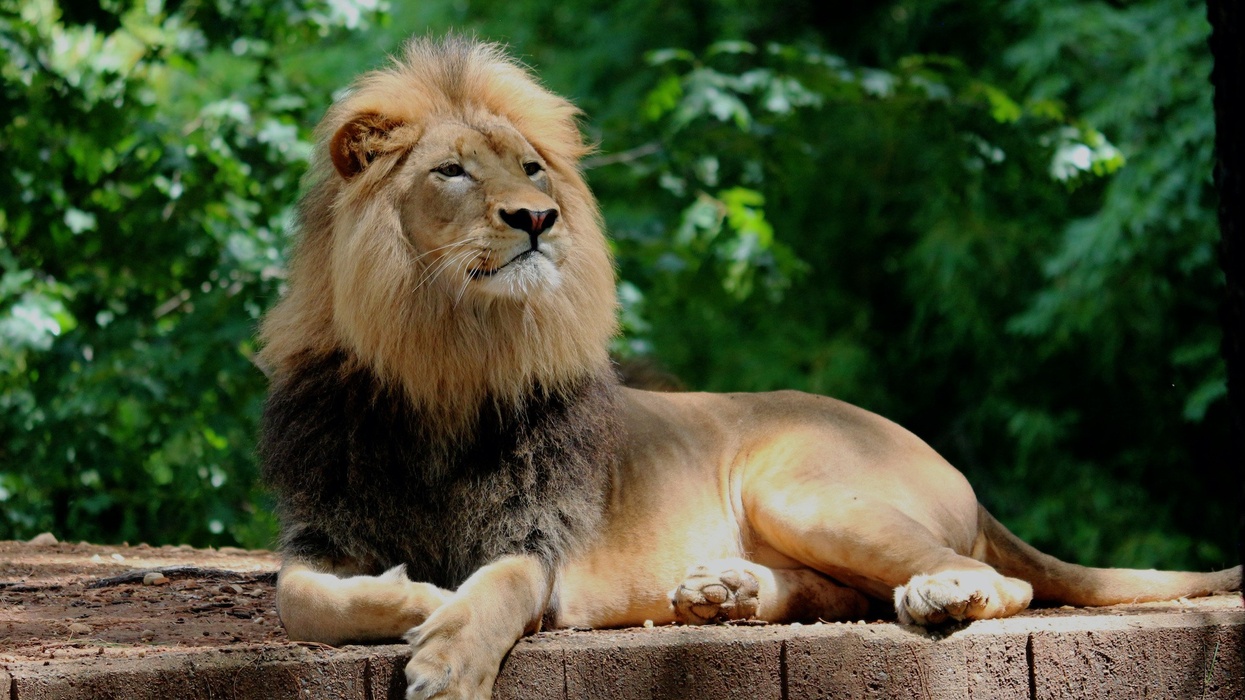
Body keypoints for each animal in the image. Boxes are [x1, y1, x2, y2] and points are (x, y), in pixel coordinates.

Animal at [258, 37, 1242, 700]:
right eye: (452, 172)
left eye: (533, 168)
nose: (537, 217)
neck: (443, 363)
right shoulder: (322, 533)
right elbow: (299, 598)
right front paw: (418, 594)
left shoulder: (538, 542)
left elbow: (494, 584)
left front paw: (449, 652)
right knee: (838, 595)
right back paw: (722, 591)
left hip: (800, 490)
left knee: (1007, 584)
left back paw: (934, 592)